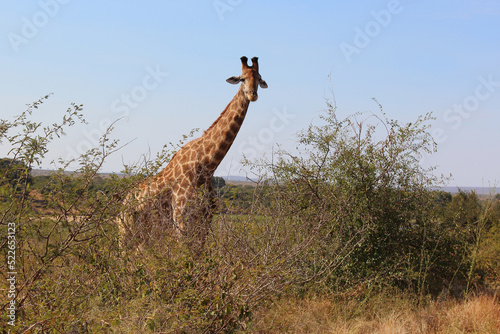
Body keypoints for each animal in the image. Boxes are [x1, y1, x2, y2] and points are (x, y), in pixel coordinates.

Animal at [118, 55, 268, 253]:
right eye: (242, 78)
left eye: (259, 78)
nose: (253, 94)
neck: (206, 165)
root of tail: (122, 204)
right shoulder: (181, 219)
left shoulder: (205, 220)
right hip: (125, 233)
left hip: (144, 236)